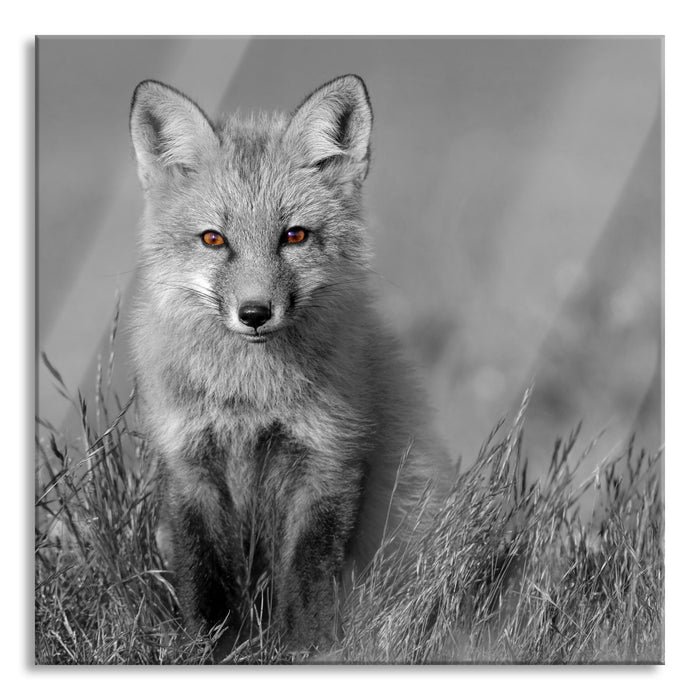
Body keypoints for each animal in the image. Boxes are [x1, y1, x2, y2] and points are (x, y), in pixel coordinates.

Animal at [129, 74, 454, 655]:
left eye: (294, 235)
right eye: (214, 239)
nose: (255, 314)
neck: (249, 397)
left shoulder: (329, 458)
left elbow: (305, 576)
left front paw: (306, 651)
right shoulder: (189, 462)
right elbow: (204, 576)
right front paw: (212, 651)